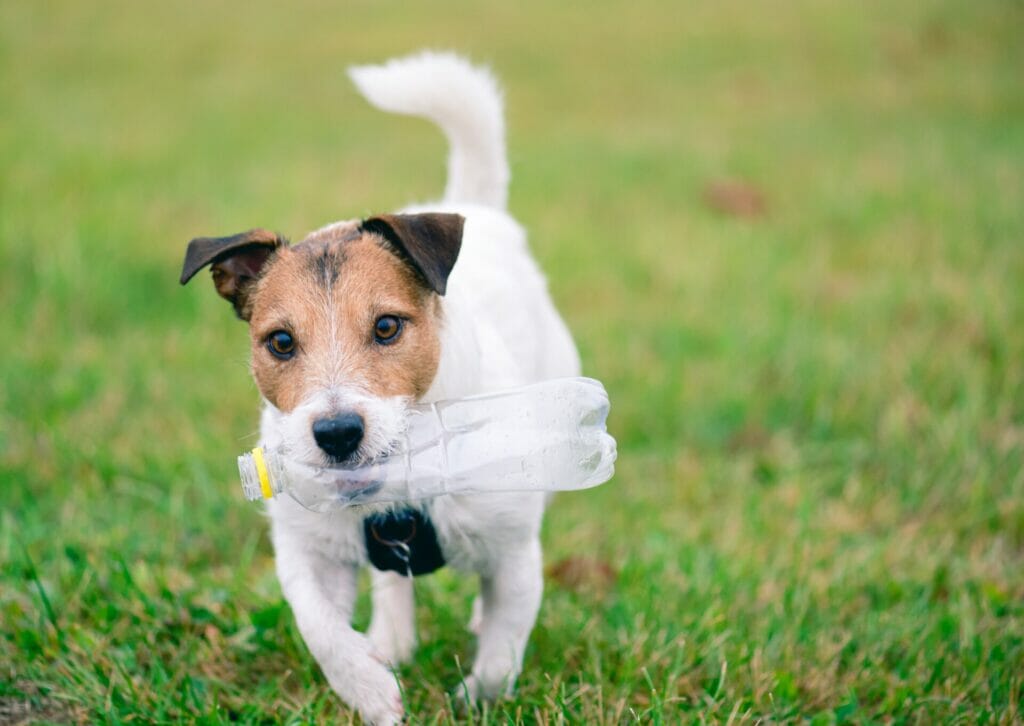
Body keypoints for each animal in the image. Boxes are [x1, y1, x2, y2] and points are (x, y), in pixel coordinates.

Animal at [180, 53, 581, 720]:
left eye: (387, 326)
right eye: (280, 342)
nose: (338, 433)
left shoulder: (513, 551)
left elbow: (504, 644)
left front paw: (477, 699)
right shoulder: (308, 549)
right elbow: (319, 626)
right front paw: (368, 687)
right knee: (393, 582)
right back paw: (391, 641)